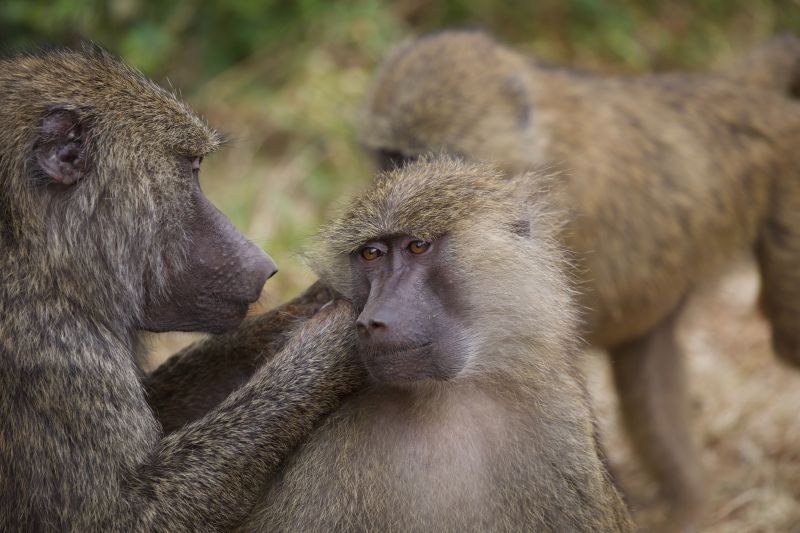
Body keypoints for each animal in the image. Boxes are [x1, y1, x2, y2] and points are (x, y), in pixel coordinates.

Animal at [0, 47, 368, 531]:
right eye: (191, 169)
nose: (266, 266)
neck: (36, 251)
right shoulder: (43, 344)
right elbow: (121, 517)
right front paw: (336, 341)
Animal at [356, 30, 800, 529]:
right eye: (390, 158)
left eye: (432, 156)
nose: (398, 196)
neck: (537, 142)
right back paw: (689, 506)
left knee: (788, 340)